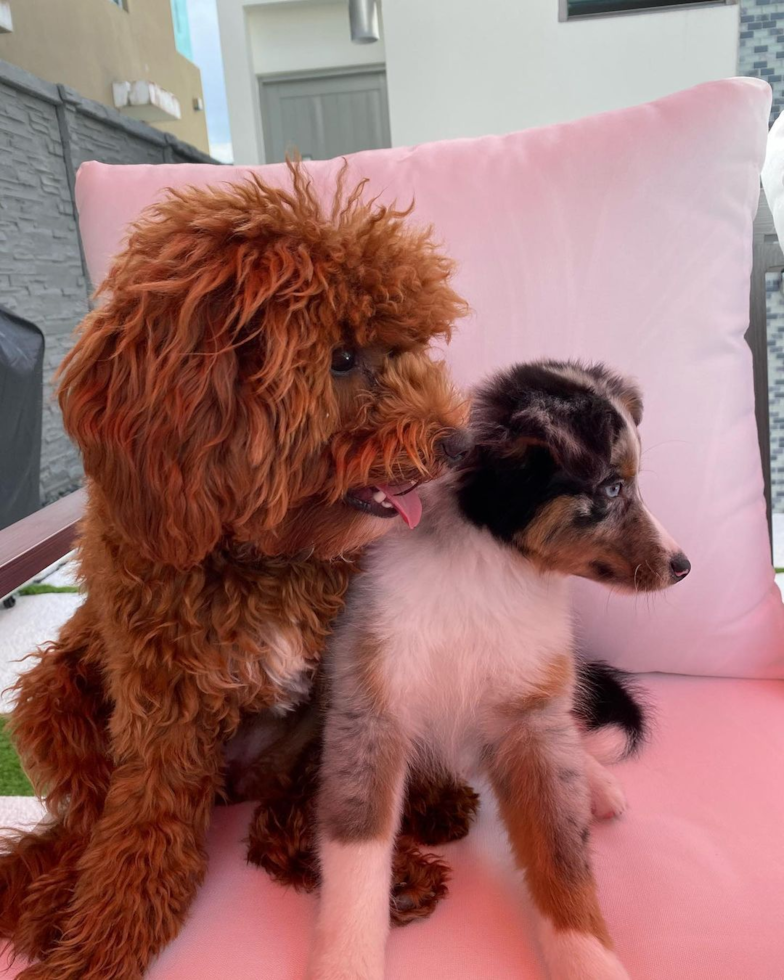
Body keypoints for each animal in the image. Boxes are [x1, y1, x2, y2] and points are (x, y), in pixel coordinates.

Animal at [0, 172, 478, 976]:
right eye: (341, 358)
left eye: (407, 346)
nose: (459, 442)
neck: (267, 553)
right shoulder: (159, 712)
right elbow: (142, 840)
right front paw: (98, 945)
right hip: (51, 697)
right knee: (87, 825)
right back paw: (51, 902)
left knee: (281, 818)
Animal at [310, 362, 688, 980]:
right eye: (612, 488)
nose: (684, 566)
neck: (491, 568)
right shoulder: (369, 708)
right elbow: (357, 858)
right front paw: (345, 961)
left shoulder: (529, 718)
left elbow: (562, 856)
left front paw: (589, 959)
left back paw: (597, 782)